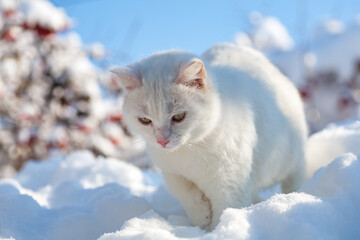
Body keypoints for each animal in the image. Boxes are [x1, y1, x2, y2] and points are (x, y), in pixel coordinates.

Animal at [112, 43, 306, 231]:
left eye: (178, 117)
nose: (162, 141)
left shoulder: (230, 183)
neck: (189, 151)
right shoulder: (173, 173)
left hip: (291, 163)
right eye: (145, 120)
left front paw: (216, 231)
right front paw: (201, 218)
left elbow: (226, 209)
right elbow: (186, 193)